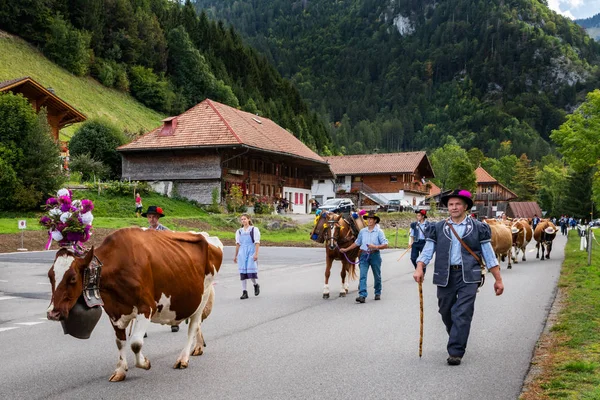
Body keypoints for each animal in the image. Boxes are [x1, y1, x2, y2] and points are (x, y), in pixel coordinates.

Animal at [45, 228, 223, 382]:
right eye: (49, 276)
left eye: (73, 278)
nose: (52, 313)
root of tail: (206, 236)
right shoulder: (114, 312)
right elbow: (120, 342)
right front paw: (120, 370)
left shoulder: (147, 307)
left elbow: (136, 343)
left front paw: (144, 363)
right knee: (197, 325)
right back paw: (198, 347)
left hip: (202, 296)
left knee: (193, 326)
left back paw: (183, 358)